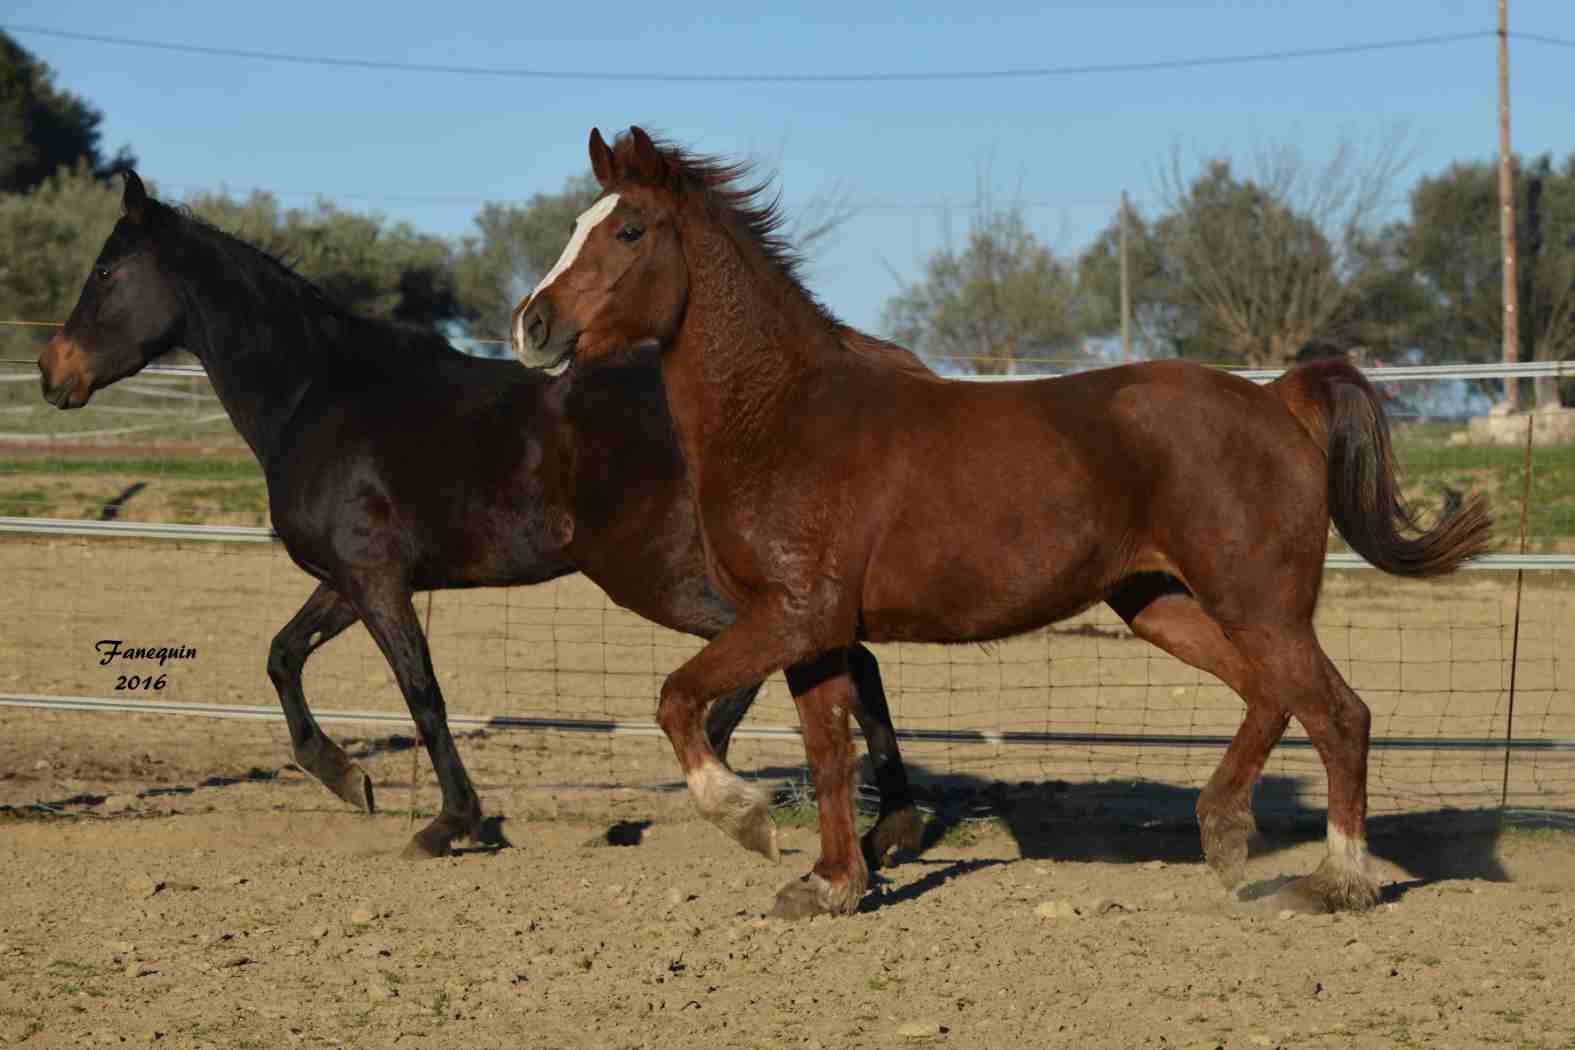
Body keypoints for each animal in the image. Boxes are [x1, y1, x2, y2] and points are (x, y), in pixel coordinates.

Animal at [39, 168, 919, 868]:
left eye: (107, 269)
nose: (53, 373)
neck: (319, 395)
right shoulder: (349, 579)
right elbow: (283, 656)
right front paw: (347, 779)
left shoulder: (376, 581)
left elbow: (420, 692)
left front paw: (450, 823)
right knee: (846, 655)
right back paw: (890, 825)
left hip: (658, 574)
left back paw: (733, 799)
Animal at [513, 127, 1486, 919]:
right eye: (575, 223)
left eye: (628, 230)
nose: (532, 326)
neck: (782, 417)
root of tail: (1277, 399)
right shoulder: (811, 632)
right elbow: (828, 751)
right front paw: (830, 885)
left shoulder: (792, 617)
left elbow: (678, 697)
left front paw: (748, 821)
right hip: (1162, 604)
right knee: (1273, 698)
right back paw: (1222, 832)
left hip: (1260, 604)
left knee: (1337, 713)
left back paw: (1334, 883)